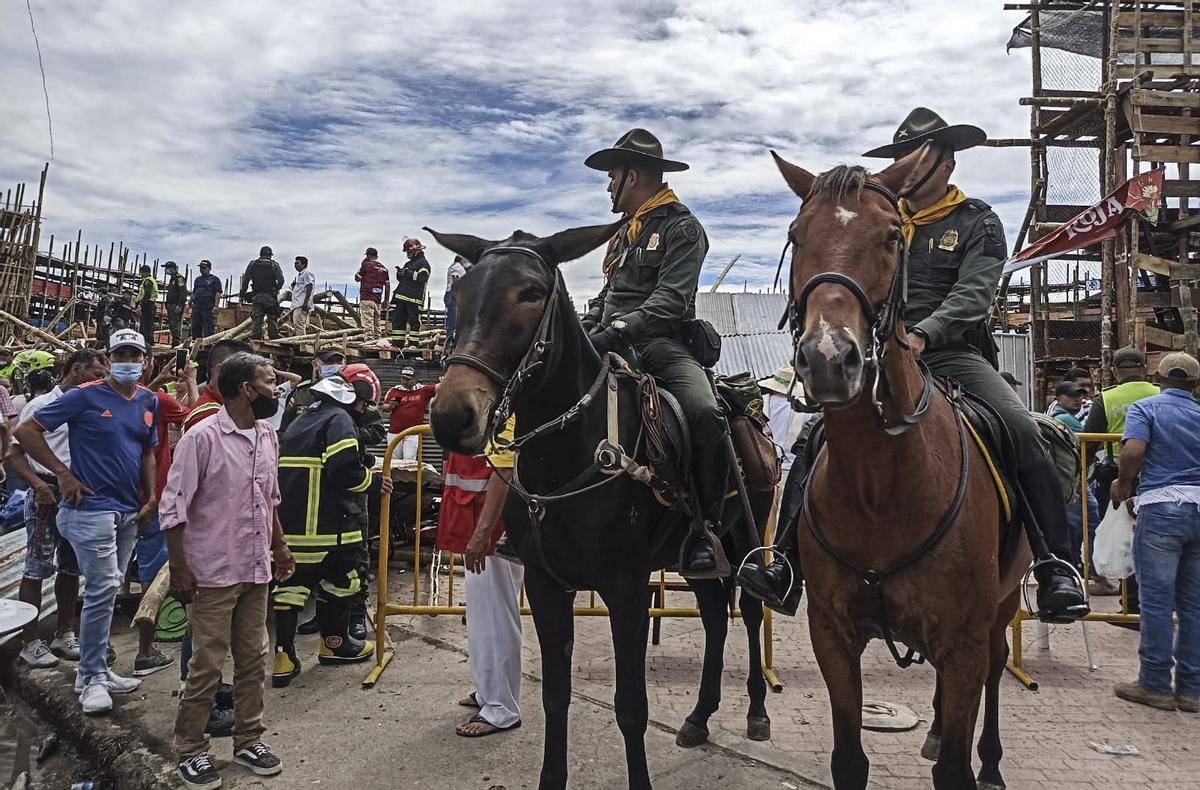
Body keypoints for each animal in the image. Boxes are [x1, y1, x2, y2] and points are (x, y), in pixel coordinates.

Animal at [427, 219, 772, 787]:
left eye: (531, 293)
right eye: (458, 294)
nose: (452, 415)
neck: (571, 450)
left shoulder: (626, 589)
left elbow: (631, 707)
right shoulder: (547, 585)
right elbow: (554, 696)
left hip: (745, 537)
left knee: (747, 610)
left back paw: (757, 712)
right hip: (699, 556)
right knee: (714, 616)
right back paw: (699, 717)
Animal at [772, 145, 1036, 787]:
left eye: (892, 236)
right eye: (796, 234)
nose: (828, 359)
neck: (880, 486)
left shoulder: (964, 643)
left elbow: (955, 769)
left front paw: (969, 758)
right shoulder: (832, 636)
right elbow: (849, 759)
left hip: (1002, 609)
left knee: (996, 669)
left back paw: (991, 761)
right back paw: (938, 731)